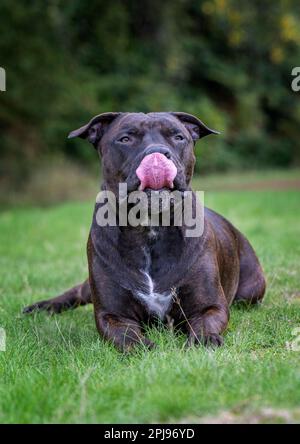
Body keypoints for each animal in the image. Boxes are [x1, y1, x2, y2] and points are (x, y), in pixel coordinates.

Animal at [24, 112, 266, 352]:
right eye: (125, 139)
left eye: (178, 137)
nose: (157, 153)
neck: (149, 226)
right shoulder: (112, 314)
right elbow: (126, 336)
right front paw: (143, 347)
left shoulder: (210, 306)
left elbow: (205, 323)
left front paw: (204, 340)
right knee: (76, 292)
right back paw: (40, 307)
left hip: (251, 291)